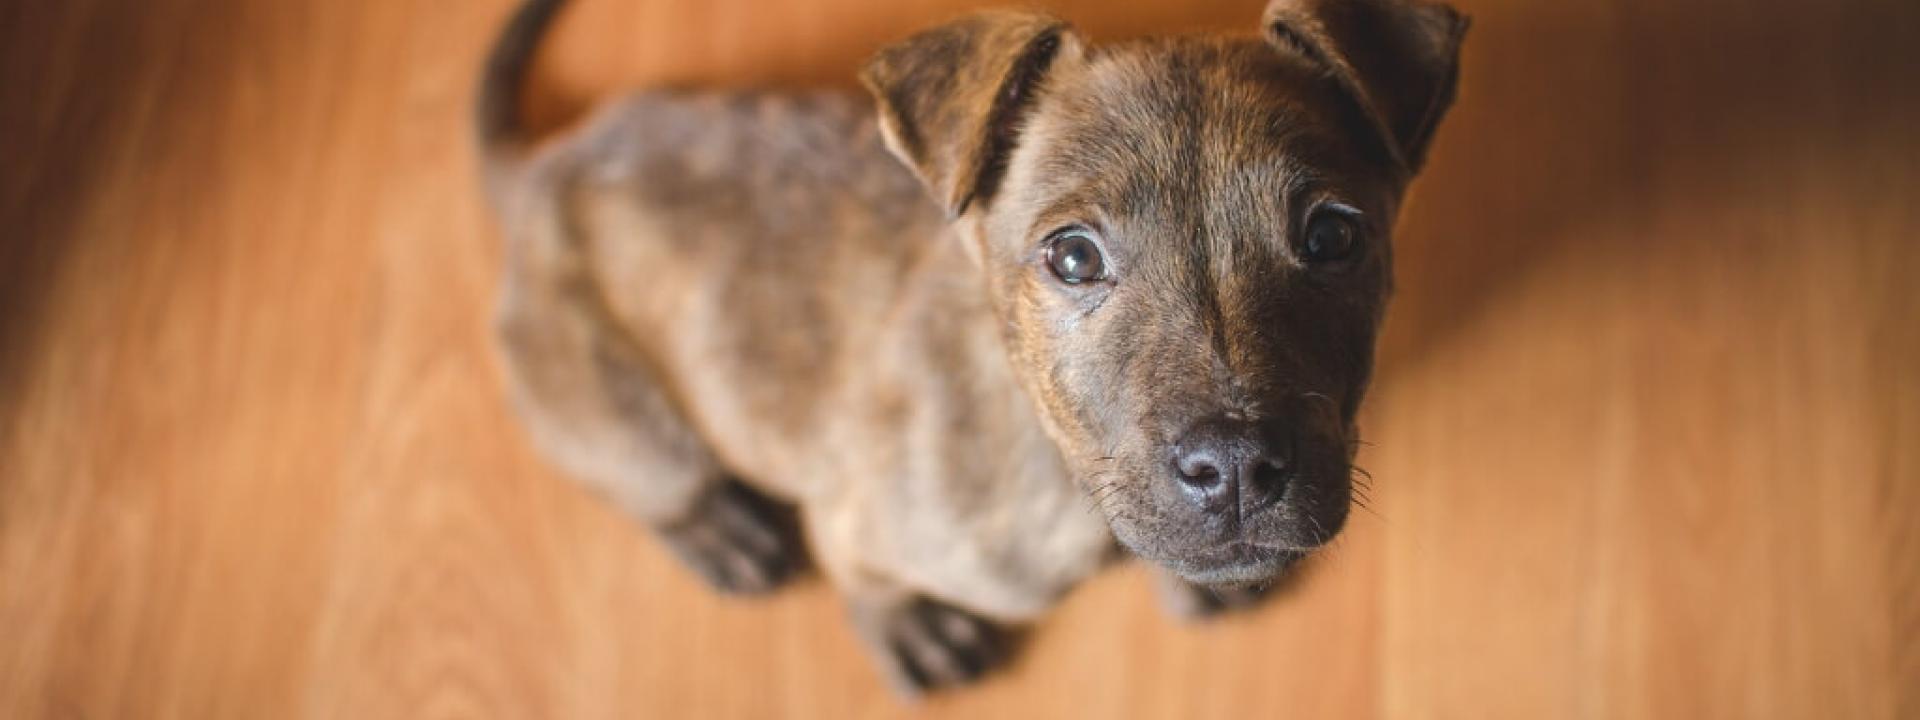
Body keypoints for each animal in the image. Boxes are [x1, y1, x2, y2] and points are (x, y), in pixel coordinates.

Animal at [483, 0, 1466, 698]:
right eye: (1073, 256)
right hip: (615, 418)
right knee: (649, 476)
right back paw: (717, 527)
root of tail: (539, 170)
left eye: (1333, 236)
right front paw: (908, 630)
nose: (1235, 469)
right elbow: (863, 577)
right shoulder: (859, 513)